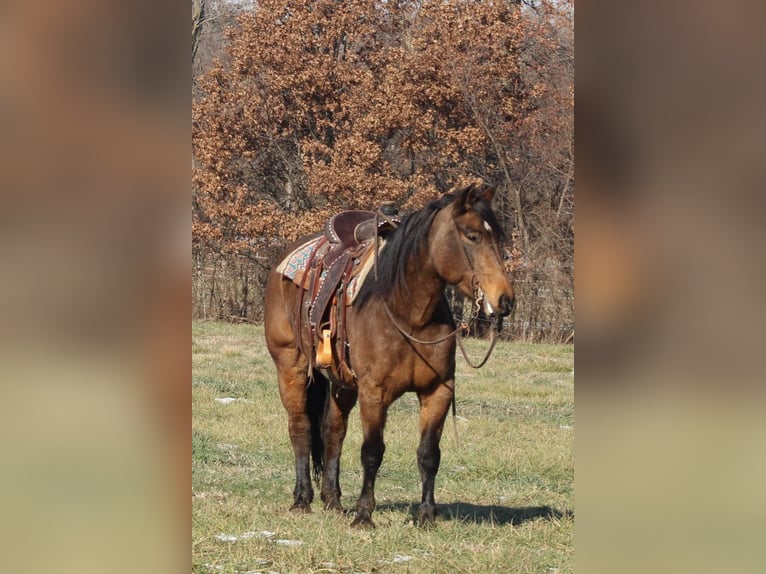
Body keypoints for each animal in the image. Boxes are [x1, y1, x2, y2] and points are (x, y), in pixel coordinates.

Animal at [264, 183, 515, 527]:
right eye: (472, 235)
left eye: (499, 237)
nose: (505, 300)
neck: (408, 313)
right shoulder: (374, 393)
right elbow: (372, 451)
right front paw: (363, 515)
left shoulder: (438, 391)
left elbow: (429, 454)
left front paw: (426, 515)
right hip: (291, 368)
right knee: (300, 427)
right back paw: (302, 499)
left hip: (342, 382)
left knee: (333, 432)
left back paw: (333, 501)